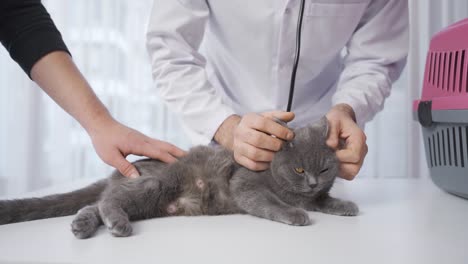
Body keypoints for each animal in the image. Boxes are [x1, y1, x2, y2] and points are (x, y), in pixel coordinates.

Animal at [0, 116, 358, 238]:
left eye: (324, 169)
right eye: (299, 169)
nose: (312, 182)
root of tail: (120, 170)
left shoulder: (315, 194)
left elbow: (323, 200)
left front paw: (344, 205)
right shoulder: (245, 183)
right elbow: (272, 203)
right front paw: (295, 214)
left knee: (96, 203)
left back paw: (83, 225)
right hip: (156, 184)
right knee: (110, 200)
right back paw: (117, 223)